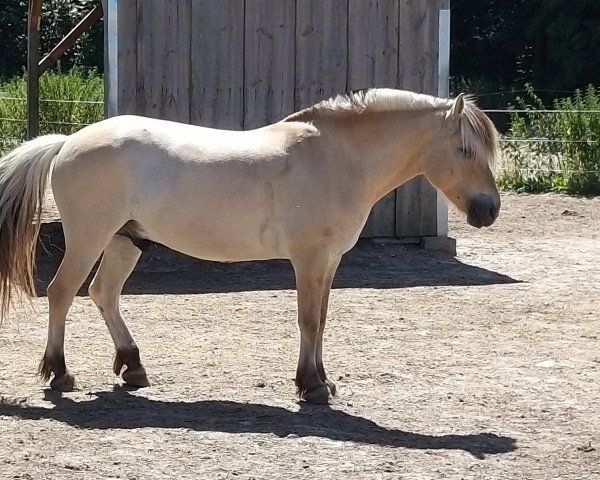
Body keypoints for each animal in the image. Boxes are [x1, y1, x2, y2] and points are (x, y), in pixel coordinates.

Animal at [0, 88, 500, 404]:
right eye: (466, 150)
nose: (489, 210)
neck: (336, 158)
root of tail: (69, 141)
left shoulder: (330, 262)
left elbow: (322, 320)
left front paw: (323, 382)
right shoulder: (309, 260)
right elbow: (308, 321)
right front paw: (311, 387)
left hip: (127, 240)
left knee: (103, 294)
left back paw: (133, 367)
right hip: (90, 238)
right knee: (62, 293)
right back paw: (60, 374)